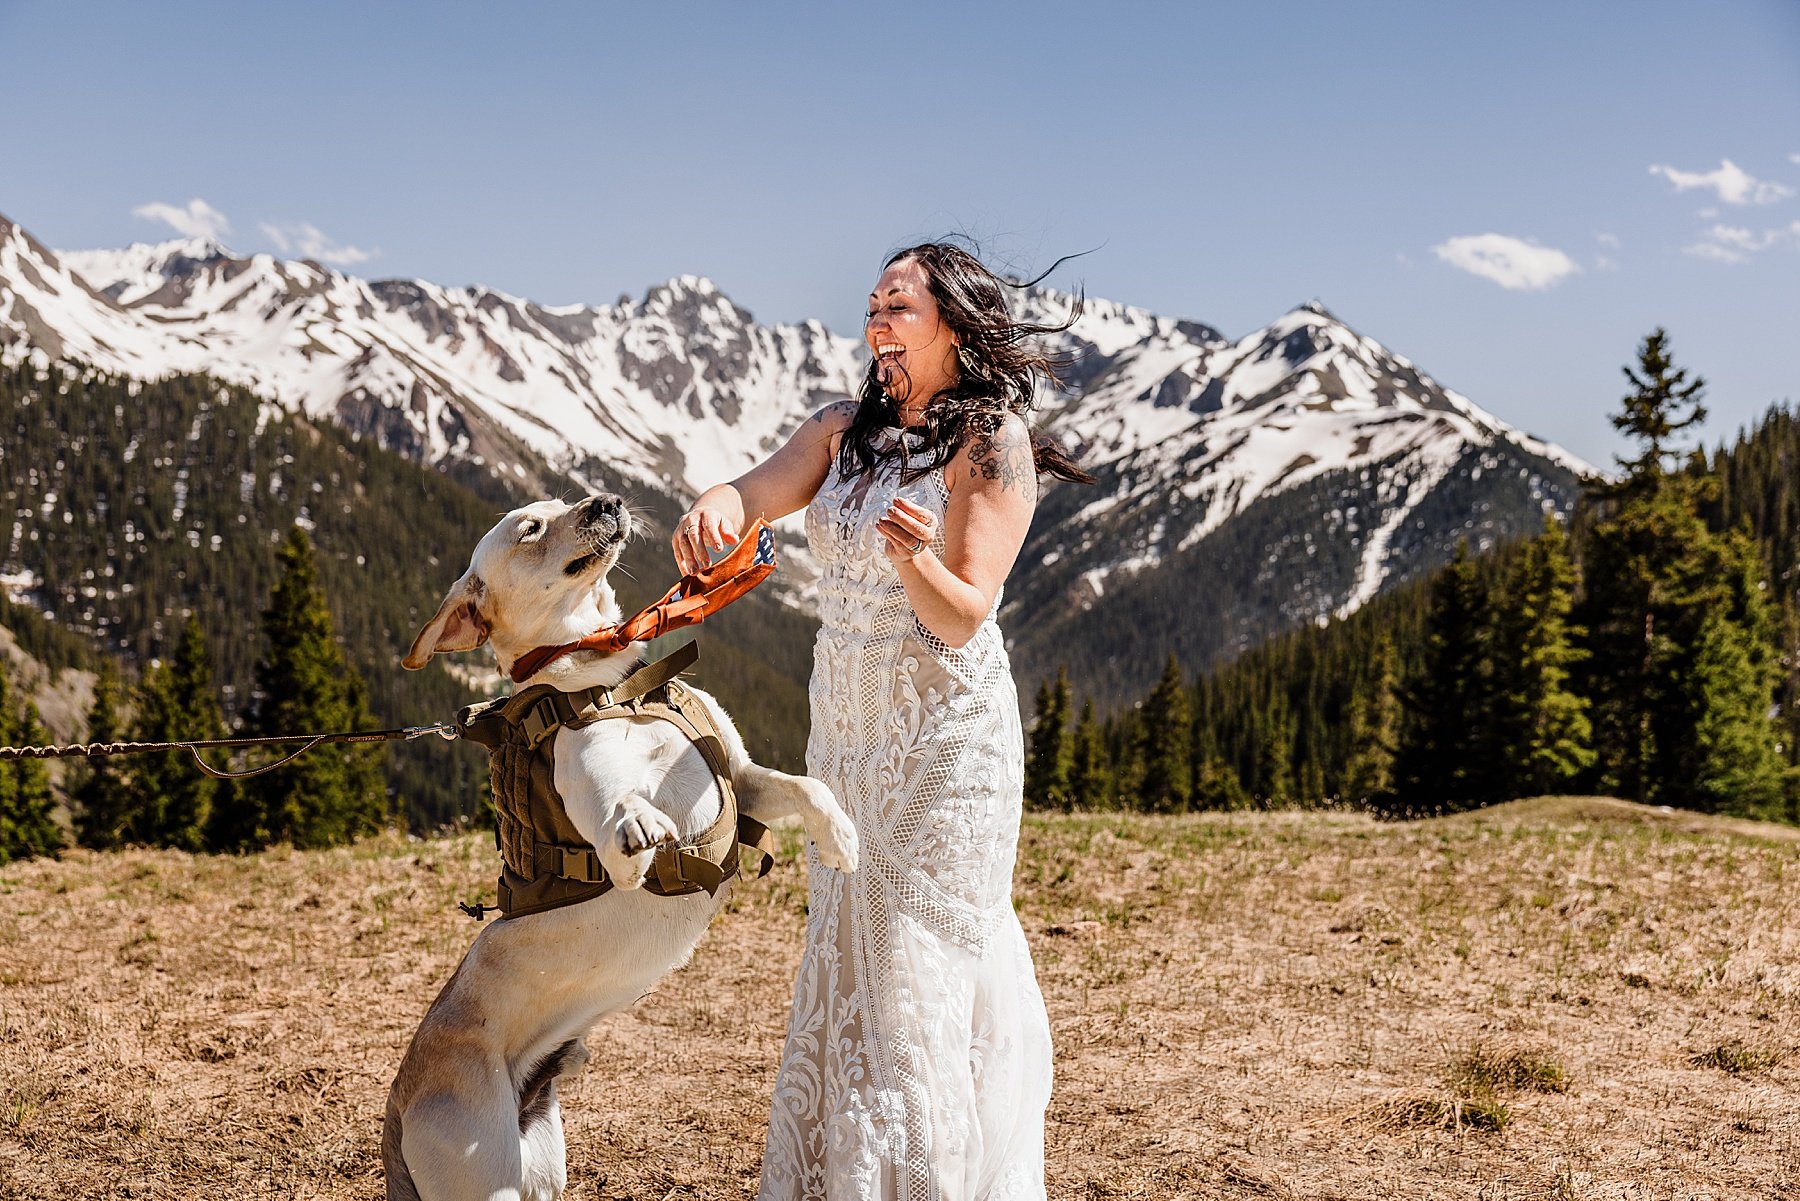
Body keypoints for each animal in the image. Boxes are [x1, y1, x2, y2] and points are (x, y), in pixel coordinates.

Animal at [381, 489, 856, 1201]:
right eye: (530, 526)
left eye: (563, 501)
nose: (607, 501)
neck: (609, 679)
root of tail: (399, 1100)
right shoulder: (598, 795)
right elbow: (620, 816)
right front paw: (636, 827)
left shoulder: (741, 779)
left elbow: (809, 788)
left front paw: (839, 837)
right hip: (487, 1178)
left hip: (542, 1168)